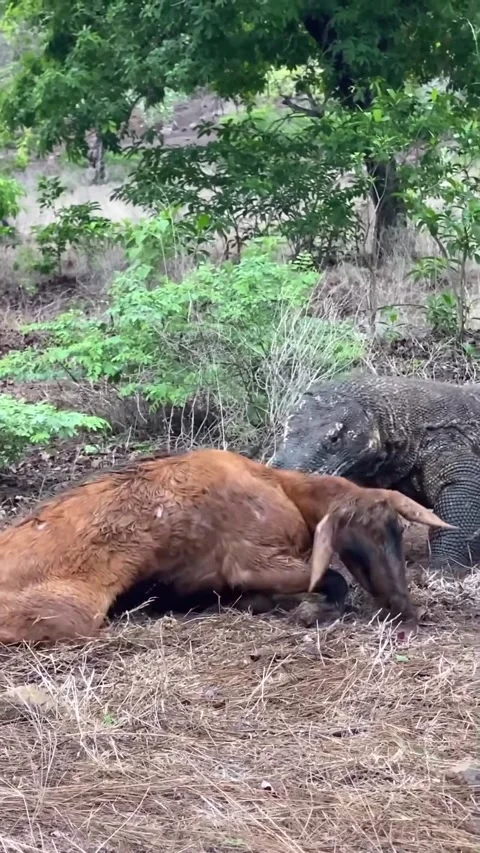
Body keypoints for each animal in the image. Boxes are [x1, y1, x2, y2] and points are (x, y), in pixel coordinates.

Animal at [0, 448, 451, 645]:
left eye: (395, 531)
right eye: (358, 538)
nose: (405, 610)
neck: (286, 490)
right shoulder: (252, 561)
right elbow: (333, 581)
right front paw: (308, 612)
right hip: (73, 613)